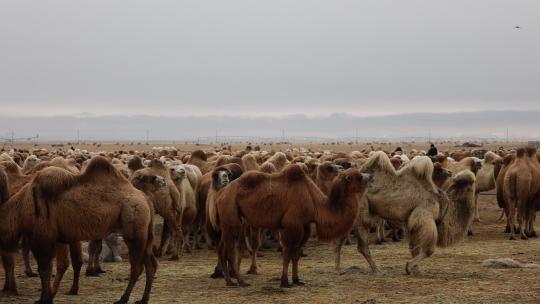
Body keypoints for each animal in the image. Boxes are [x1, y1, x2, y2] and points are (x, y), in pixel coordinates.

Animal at [0, 157, 156, 304]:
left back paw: (123, 299)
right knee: (151, 265)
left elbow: (44, 269)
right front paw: (50, 296)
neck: (22, 208)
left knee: (137, 268)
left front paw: (44, 299)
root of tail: (146, 199)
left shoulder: (43, 236)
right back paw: (143, 299)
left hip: (134, 228)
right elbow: (58, 265)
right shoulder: (59, 237)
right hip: (145, 234)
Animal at [215, 166, 372, 288]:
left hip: (231, 220)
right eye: (359, 177)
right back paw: (242, 282)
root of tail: (221, 194)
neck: (314, 202)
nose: (370, 176)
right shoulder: (292, 225)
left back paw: (229, 281)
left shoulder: (305, 225)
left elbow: (296, 255)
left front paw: (297, 280)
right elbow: (287, 254)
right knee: (231, 250)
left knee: (222, 248)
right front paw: (284, 282)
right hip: (231, 214)